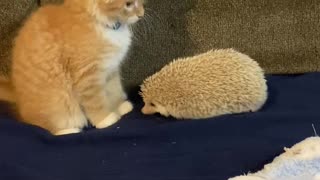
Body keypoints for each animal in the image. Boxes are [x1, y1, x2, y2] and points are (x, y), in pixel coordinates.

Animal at [0, 0, 144, 135]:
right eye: (128, 4)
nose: (141, 15)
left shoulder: (111, 69)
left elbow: (114, 91)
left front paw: (119, 107)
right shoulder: (87, 77)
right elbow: (96, 102)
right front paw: (105, 119)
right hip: (58, 105)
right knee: (48, 128)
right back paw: (70, 130)